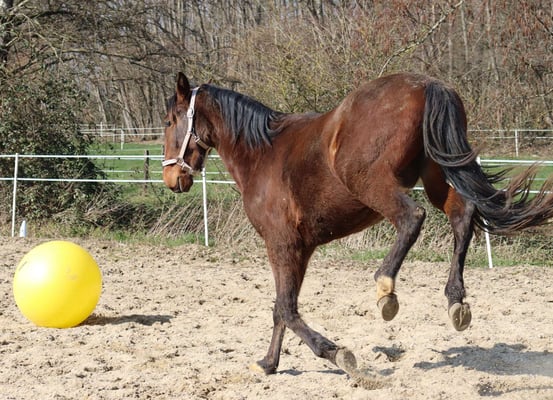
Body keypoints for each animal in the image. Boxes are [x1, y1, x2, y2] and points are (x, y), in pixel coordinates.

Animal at [162, 72, 553, 375]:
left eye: (169, 121)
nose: (171, 178)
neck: (262, 153)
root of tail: (428, 84)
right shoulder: (301, 249)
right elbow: (280, 309)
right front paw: (269, 364)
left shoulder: (281, 244)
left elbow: (286, 309)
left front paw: (336, 354)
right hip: (436, 176)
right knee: (463, 216)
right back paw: (455, 301)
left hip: (372, 183)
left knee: (413, 217)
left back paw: (386, 290)